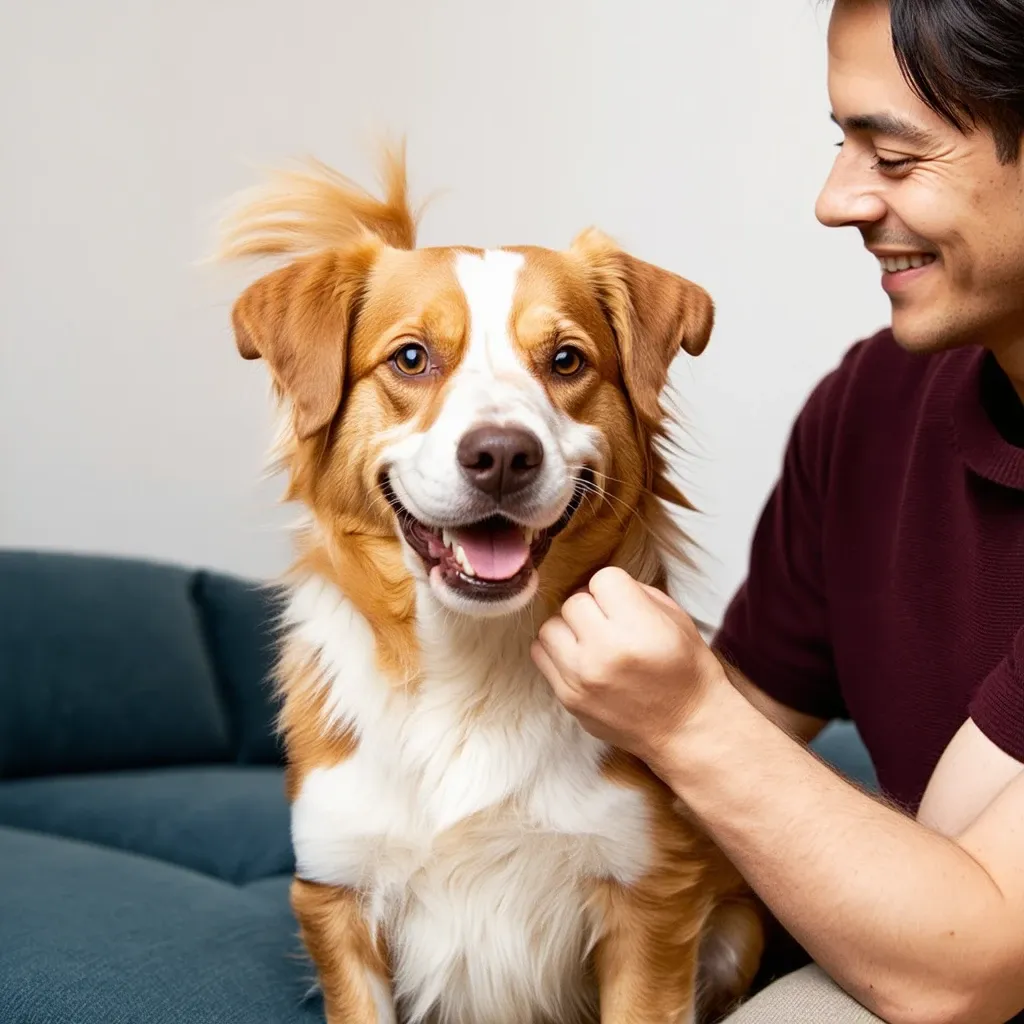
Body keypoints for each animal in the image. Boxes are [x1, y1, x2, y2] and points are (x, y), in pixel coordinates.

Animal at [216, 148, 761, 1024]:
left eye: (566, 360)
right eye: (410, 358)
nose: (503, 455)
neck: (472, 664)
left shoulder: (650, 897)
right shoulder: (337, 892)